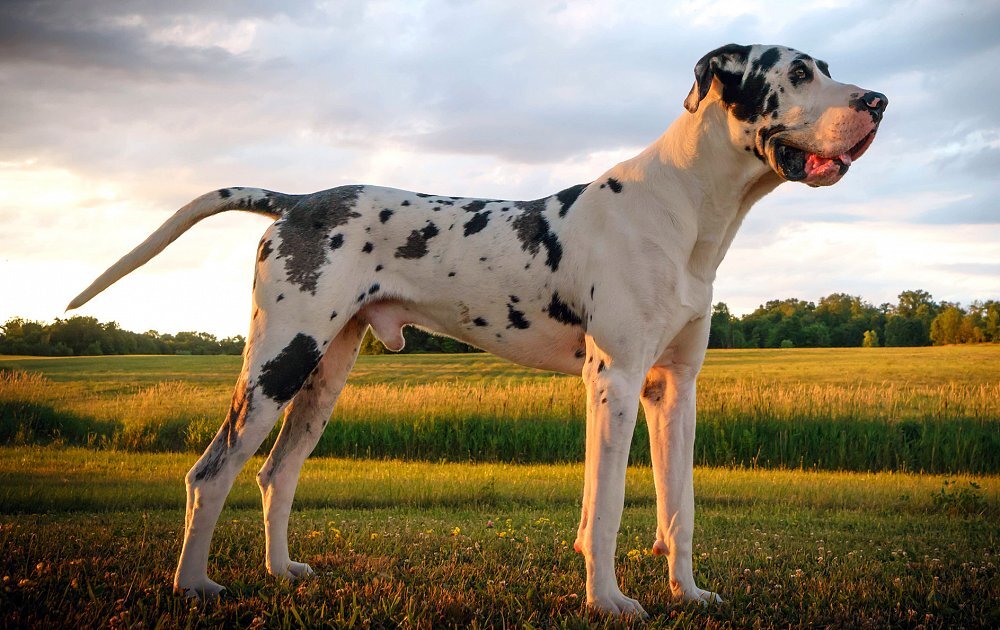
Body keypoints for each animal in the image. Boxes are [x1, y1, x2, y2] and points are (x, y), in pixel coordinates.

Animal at [68, 45, 884, 624]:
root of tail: (298, 200)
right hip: (279, 361)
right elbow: (609, 507)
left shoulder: (673, 391)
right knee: (211, 473)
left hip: (324, 375)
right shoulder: (615, 383)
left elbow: (677, 509)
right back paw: (194, 586)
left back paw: (280, 573)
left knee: (275, 473)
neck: (684, 210)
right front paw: (610, 602)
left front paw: (688, 593)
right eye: (800, 72)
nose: (878, 100)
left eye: (830, 69)